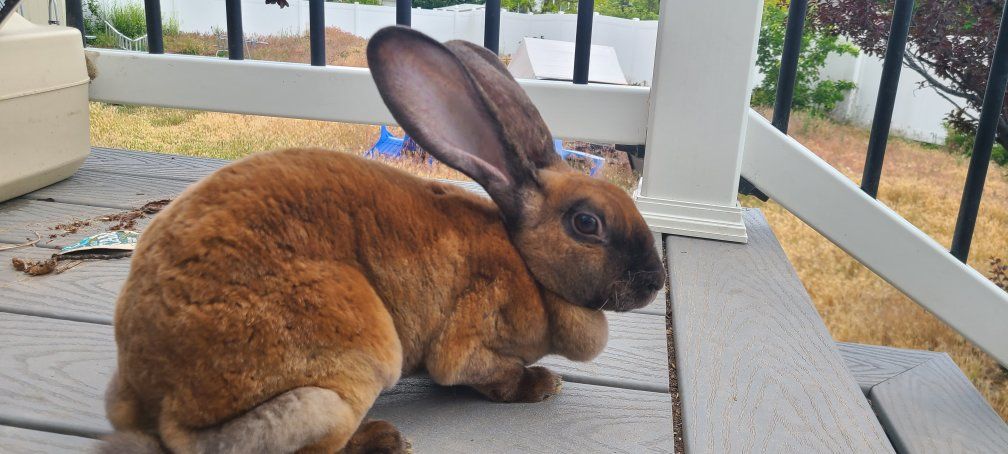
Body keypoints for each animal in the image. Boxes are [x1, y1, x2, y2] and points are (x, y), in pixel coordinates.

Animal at [100, 25, 665, 454]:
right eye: (587, 223)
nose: (655, 283)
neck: (525, 262)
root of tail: (157, 395)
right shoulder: (469, 343)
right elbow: (490, 376)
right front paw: (543, 384)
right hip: (354, 362)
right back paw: (384, 439)